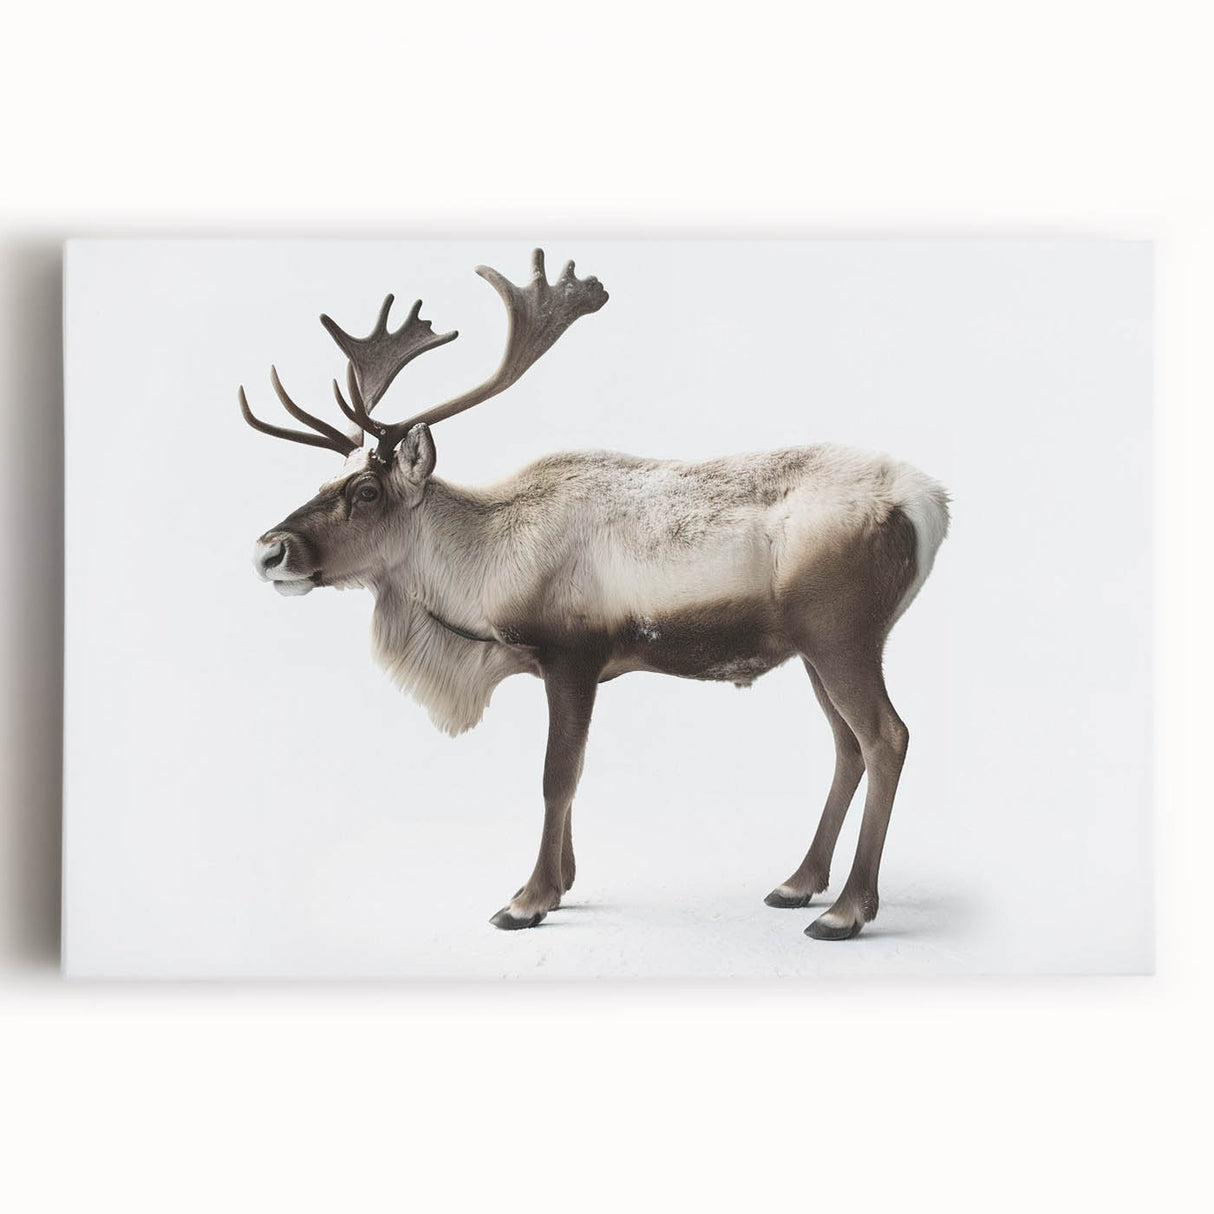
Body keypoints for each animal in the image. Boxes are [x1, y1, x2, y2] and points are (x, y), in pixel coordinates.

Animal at [241, 249, 950, 939]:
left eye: (366, 491)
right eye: (326, 480)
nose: (269, 550)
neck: (484, 568)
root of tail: (931, 504)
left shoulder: (572, 656)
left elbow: (557, 777)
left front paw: (527, 899)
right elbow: (574, 779)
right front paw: (564, 883)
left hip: (842, 636)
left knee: (886, 737)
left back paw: (846, 910)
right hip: (813, 649)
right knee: (846, 745)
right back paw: (798, 883)